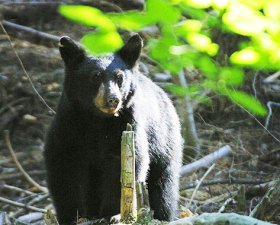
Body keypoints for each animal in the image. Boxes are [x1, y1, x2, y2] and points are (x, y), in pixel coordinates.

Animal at [43, 34, 183, 224]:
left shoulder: (127, 125)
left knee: (163, 186)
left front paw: (112, 213)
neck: (97, 120)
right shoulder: (69, 125)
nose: (113, 99)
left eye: (119, 77)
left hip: (164, 142)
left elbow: (125, 165)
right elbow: (63, 166)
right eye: (95, 76)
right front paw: (72, 215)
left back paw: (162, 214)